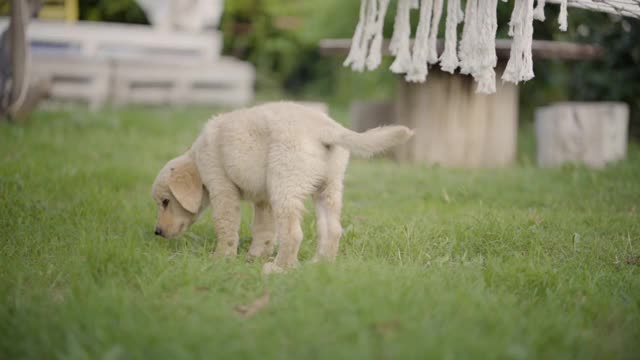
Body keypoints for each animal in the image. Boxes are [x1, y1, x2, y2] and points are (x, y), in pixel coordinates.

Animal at [151, 101, 416, 272]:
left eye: (165, 202)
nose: (157, 232)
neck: (197, 156)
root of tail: (327, 128)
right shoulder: (264, 200)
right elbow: (264, 231)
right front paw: (255, 256)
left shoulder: (222, 187)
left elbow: (226, 227)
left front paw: (220, 259)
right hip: (327, 188)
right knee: (332, 229)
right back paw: (320, 265)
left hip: (285, 184)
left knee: (293, 233)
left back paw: (279, 268)